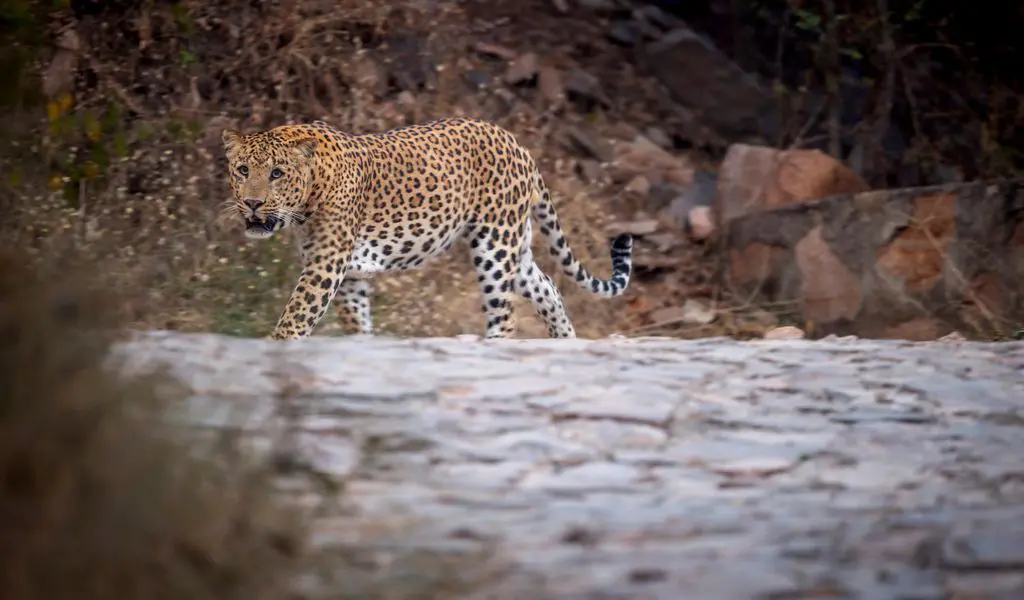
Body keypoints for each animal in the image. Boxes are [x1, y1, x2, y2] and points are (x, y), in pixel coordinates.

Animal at [220, 117, 633, 341]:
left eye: (277, 173)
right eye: (242, 170)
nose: (253, 203)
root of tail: (518, 144)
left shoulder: (327, 264)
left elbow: (297, 315)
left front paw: (276, 345)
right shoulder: (350, 274)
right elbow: (356, 322)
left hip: (495, 246)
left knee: (505, 315)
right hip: (516, 247)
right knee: (548, 288)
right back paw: (565, 341)